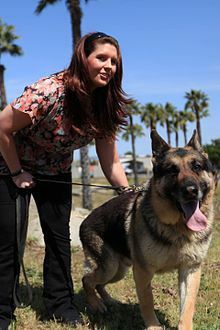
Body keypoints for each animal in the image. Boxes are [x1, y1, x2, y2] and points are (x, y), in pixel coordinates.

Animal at [79, 130, 217, 328]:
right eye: (172, 170)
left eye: (197, 166)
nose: (191, 190)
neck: (177, 228)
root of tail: (85, 220)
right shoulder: (142, 272)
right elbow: (147, 302)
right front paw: (154, 326)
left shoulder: (190, 270)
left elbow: (187, 307)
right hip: (110, 268)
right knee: (87, 280)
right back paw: (96, 304)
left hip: (119, 271)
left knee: (98, 284)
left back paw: (109, 300)